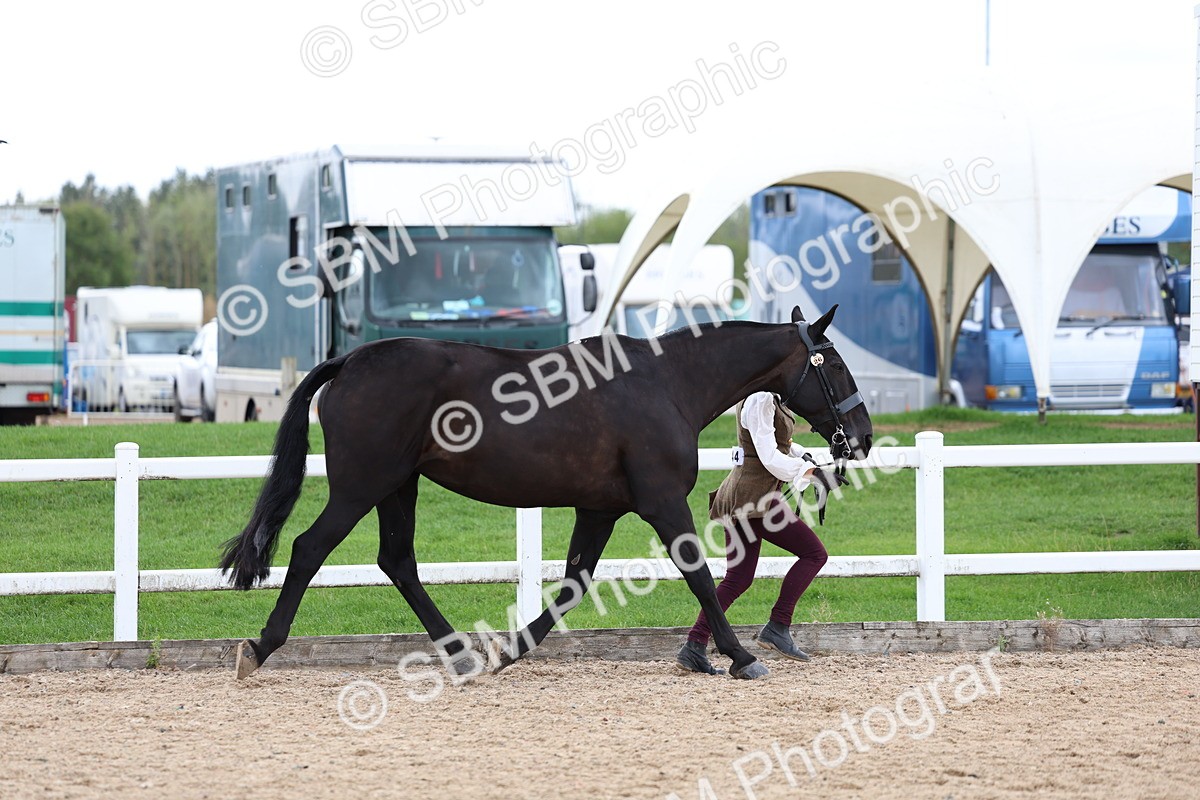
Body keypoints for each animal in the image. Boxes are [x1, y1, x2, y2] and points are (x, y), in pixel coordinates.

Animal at [219, 304, 873, 680]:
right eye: (836, 364)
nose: (862, 437)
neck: (667, 383)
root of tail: (352, 359)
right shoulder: (662, 502)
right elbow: (702, 578)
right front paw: (741, 657)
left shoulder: (601, 508)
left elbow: (572, 586)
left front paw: (507, 651)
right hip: (363, 484)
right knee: (309, 549)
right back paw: (260, 647)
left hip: (399, 485)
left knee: (397, 561)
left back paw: (460, 654)